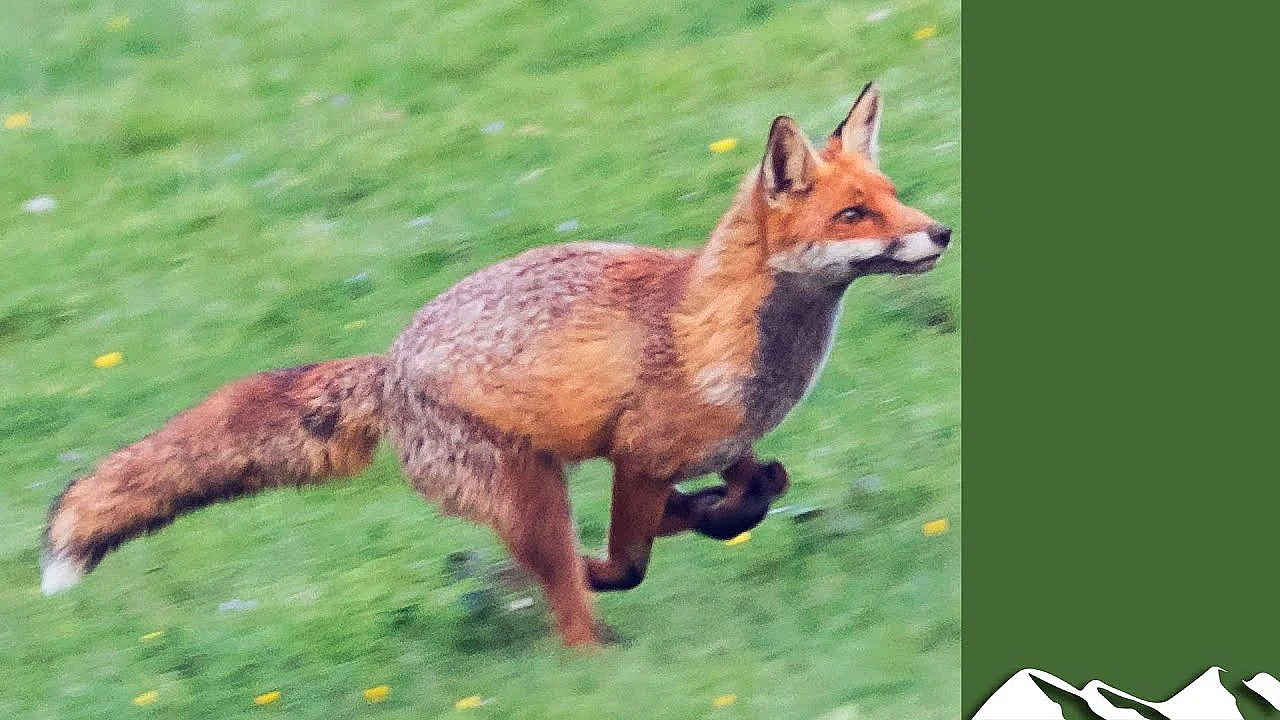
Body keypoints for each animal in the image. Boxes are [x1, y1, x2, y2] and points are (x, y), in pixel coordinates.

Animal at [42, 83, 951, 647]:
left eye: (894, 196)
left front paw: (712, 512)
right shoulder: (638, 453)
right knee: (569, 598)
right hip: (530, 492)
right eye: (853, 214)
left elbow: (758, 487)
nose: (941, 231)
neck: (723, 331)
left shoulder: (719, 447)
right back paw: (593, 648)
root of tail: (390, 362)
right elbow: (629, 555)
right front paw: (665, 534)